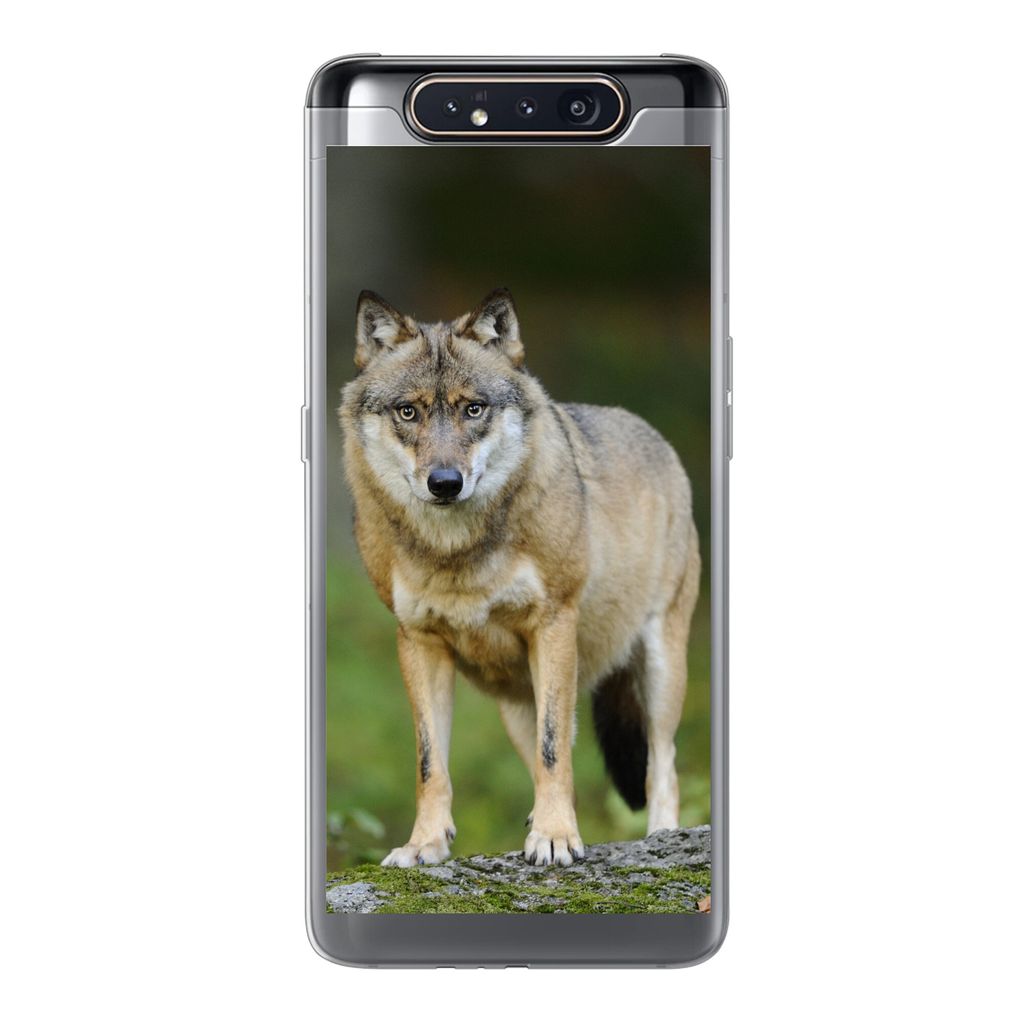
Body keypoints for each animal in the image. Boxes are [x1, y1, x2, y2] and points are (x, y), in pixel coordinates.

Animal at [338, 288, 700, 867]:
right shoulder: (417, 642)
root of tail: (653, 434)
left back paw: (658, 838)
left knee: (660, 764)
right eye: (408, 411)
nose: (445, 483)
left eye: (473, 408)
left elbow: (555, 753)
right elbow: (430, 763)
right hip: (516, 705)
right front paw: (424, 844)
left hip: (660, 668)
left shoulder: (553, 623)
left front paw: (554, 838)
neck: (457, 555)